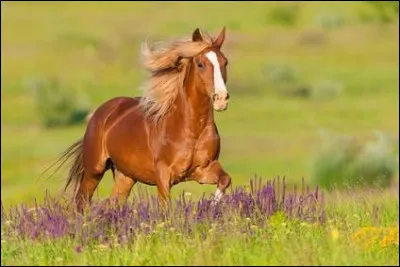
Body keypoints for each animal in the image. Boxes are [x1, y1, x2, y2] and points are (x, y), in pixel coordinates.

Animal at [55, 27, 231, 214]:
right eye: (200, 64)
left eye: (225, 62)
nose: (221, 98)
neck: (191, 129)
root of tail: (100, 112)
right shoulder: (163, 175)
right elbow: (165, 207)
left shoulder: (203, 169)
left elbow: (225, 180)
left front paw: (210, 209)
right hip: (94, 170)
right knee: (81, 201)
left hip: (125, 176)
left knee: (112, 202)